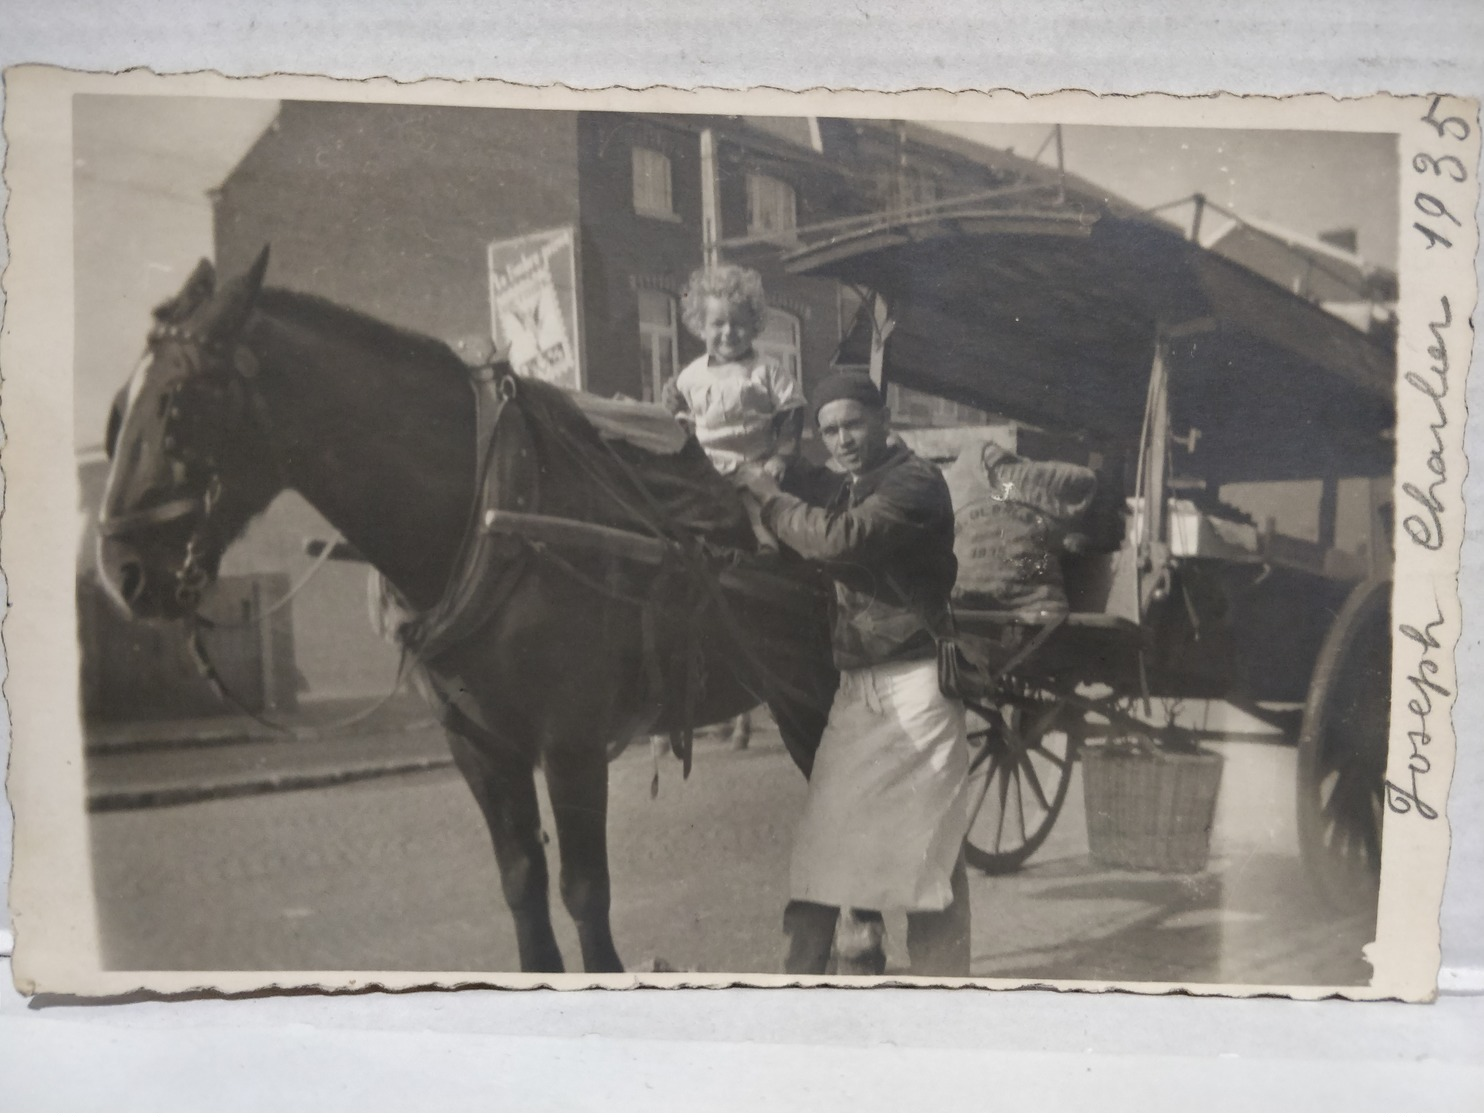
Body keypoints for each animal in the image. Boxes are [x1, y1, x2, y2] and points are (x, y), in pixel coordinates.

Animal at [95, 250, 836, 967]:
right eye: (117, 409)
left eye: (176, 402)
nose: (120, 570)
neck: (492, 507)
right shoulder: (478, 743)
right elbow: (522, 884)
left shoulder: (571, 740)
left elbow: (585, 892)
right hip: (793, 693)